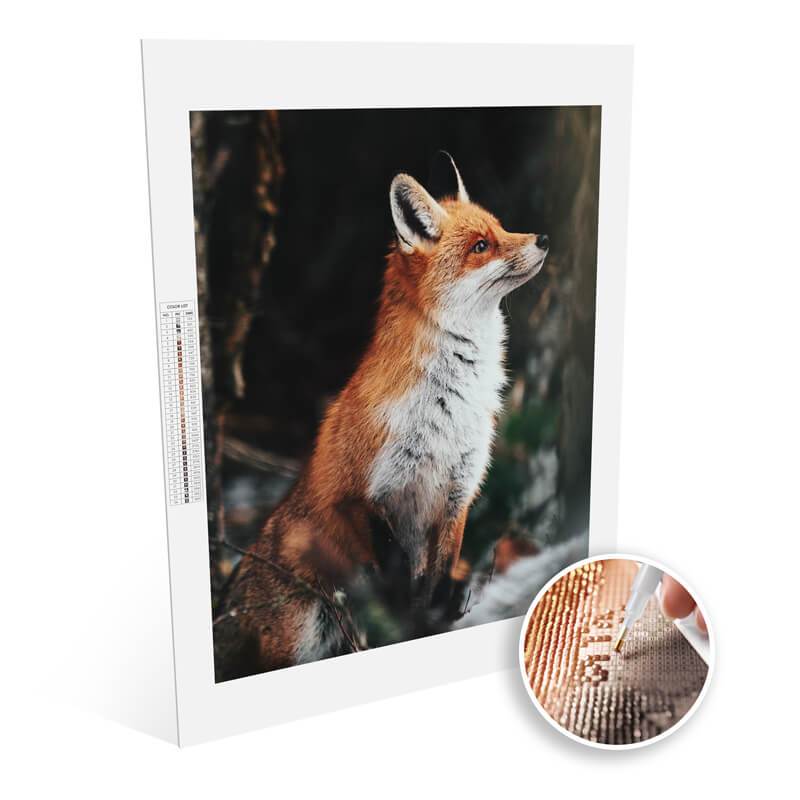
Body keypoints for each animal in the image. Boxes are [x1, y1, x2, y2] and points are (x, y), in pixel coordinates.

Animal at [216, 154, 549, 679]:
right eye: (481, 246)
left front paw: (434, 617)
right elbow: (396, 586)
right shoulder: (363, 494)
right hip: (300, 637)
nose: (543, 238)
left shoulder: (458, 492)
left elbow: (436, 578)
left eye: (500, 228)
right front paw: (408, 623)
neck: (448, 407)